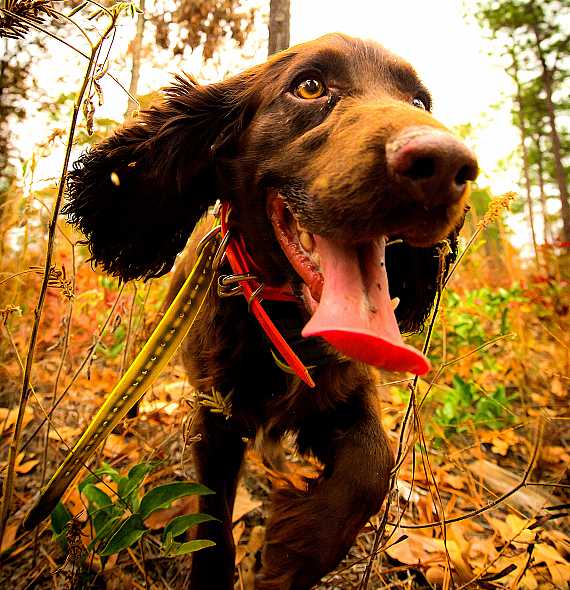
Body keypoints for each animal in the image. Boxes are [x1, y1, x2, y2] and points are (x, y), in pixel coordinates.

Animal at [64, 33, 478, 590]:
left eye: (420, 101)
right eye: (309, 86)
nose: (447, 167)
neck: (282, 317)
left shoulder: (344, 393)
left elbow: (373, 465)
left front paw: (295, 550)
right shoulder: (217, 415)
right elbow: (213, 517)